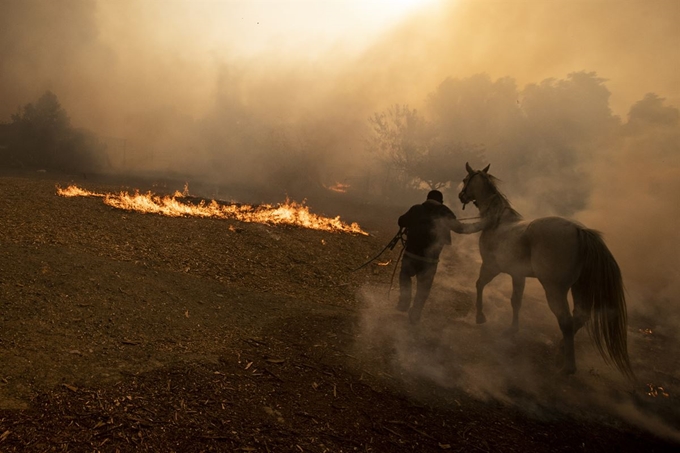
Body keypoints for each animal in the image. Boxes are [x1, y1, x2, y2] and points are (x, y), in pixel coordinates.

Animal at [456, 162, 632, 378]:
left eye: (465, 179)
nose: (461, 196)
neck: (497, 220)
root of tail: (580, 231)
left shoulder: (490, 266)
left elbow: (479, 285)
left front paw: (480, 317)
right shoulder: (517, 274)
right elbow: (516, 301)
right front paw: (512, 330)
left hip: (554, 289)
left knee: (566, 321)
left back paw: (567, 367)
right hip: (578, 288)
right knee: (580, 317)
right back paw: (561, 350)